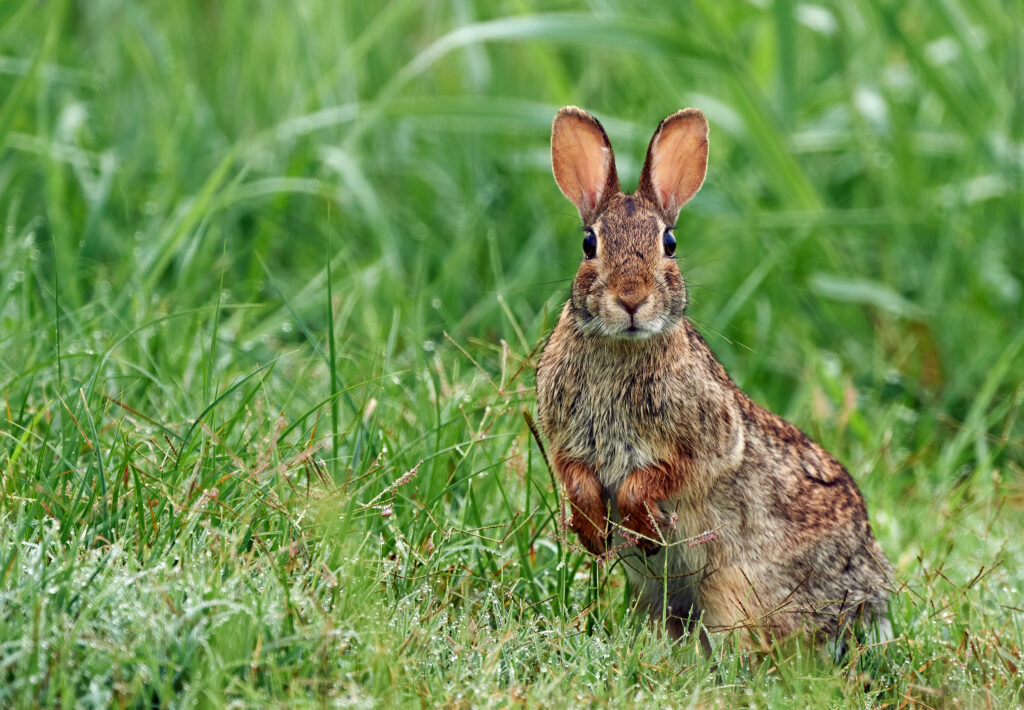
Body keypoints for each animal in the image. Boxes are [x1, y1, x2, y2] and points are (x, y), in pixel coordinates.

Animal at [536, 106, 893, 651]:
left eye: (669, 243)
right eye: (588, 243)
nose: (631, 299)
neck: (622, 347)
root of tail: (867, 603)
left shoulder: (709, 443)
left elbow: (661, 476)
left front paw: (638, 526)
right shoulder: (566, 442)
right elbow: (575, 477)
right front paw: (592, 532)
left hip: (735, 590)